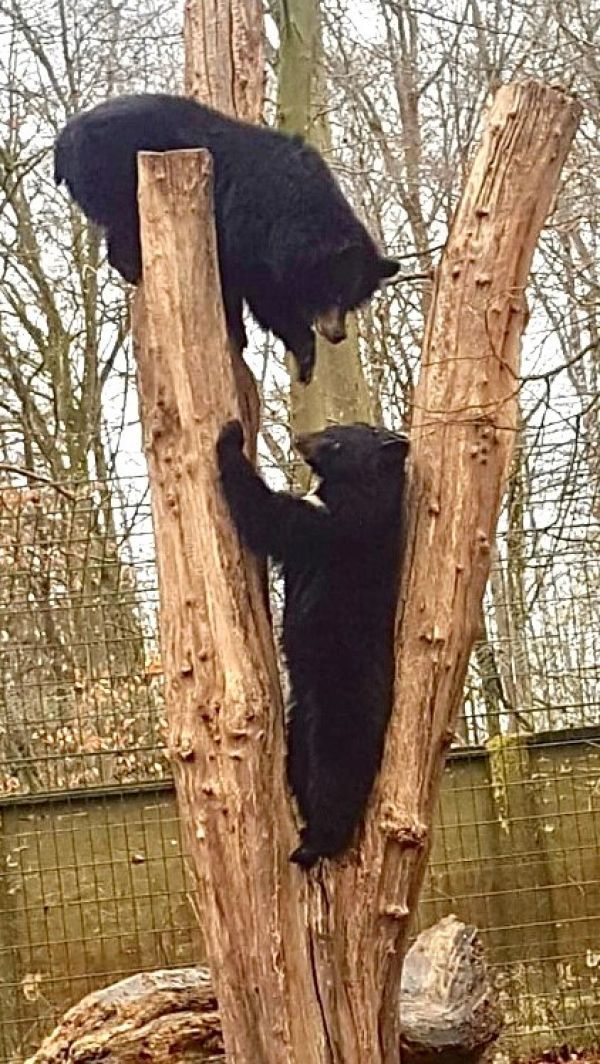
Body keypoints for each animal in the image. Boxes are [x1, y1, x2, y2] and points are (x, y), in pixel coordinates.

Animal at [54, 94, 399, 384]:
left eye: (351, 301)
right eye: (333, 291)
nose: (338, 333)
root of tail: (64, 138)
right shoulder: (250, 230)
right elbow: (259, 292)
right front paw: (299, 350)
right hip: (118, 177)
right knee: (126, 227)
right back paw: (135, 268)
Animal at [216, 418, 408, 867]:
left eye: (335, 440)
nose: (300, 439)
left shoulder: (339, 523)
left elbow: (273, 520)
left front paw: (230, 435)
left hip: (336, 692)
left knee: (334, 770)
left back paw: (315, 842)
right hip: (301, 713)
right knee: (301, 760)